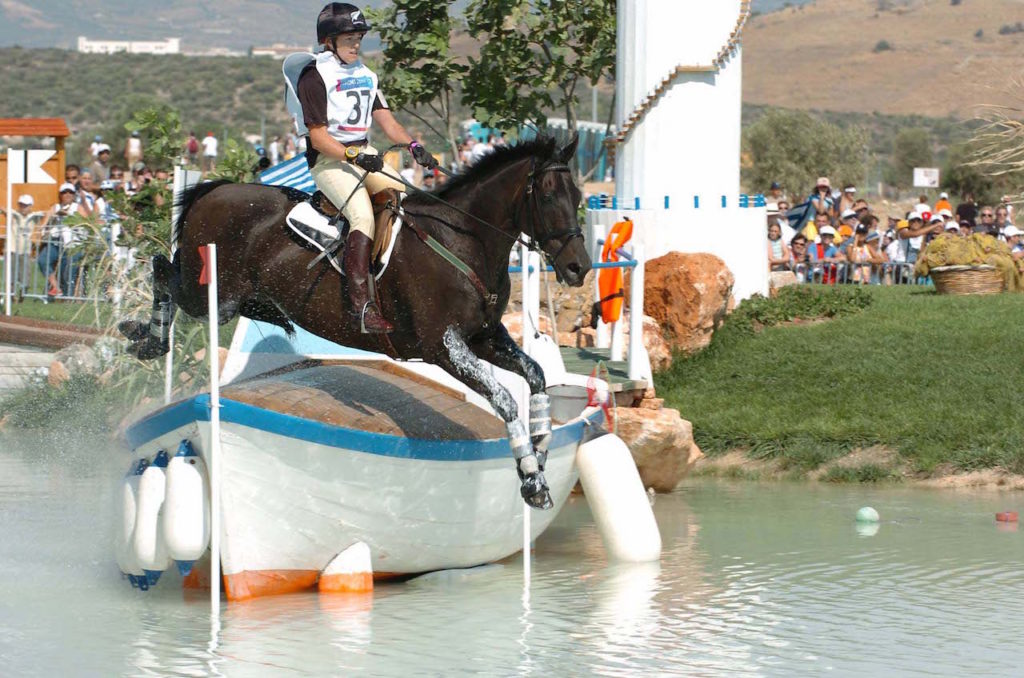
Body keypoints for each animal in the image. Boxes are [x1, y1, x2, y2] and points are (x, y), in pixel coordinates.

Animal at [121, 137, 593, 510]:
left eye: (579, 196)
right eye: (547, 197)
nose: (579, 268)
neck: (462, 241)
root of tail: (215, 190)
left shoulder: (484, 338)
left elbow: (535, 376)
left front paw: (541, 452)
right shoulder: (444, 346)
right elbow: (506, 399)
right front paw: (531, 479)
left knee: (165, 267)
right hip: (212, 295)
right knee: (161, 268)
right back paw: (145, 338)